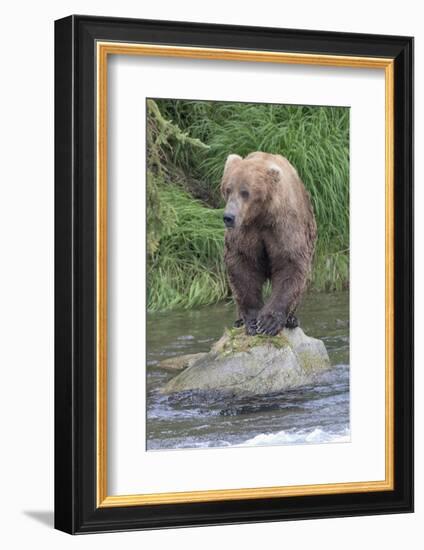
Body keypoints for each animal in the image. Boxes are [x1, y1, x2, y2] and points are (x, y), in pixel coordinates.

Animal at [222, 153, 314, 338]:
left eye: (245, 192)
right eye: (227, 189)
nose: (229, 217)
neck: (261, 215)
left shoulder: (283, 226)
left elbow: (290, 264)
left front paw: (268, 323)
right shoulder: (245, 232)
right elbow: (242, 266)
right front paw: (252, 321)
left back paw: (291, 319)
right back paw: (238, 320)